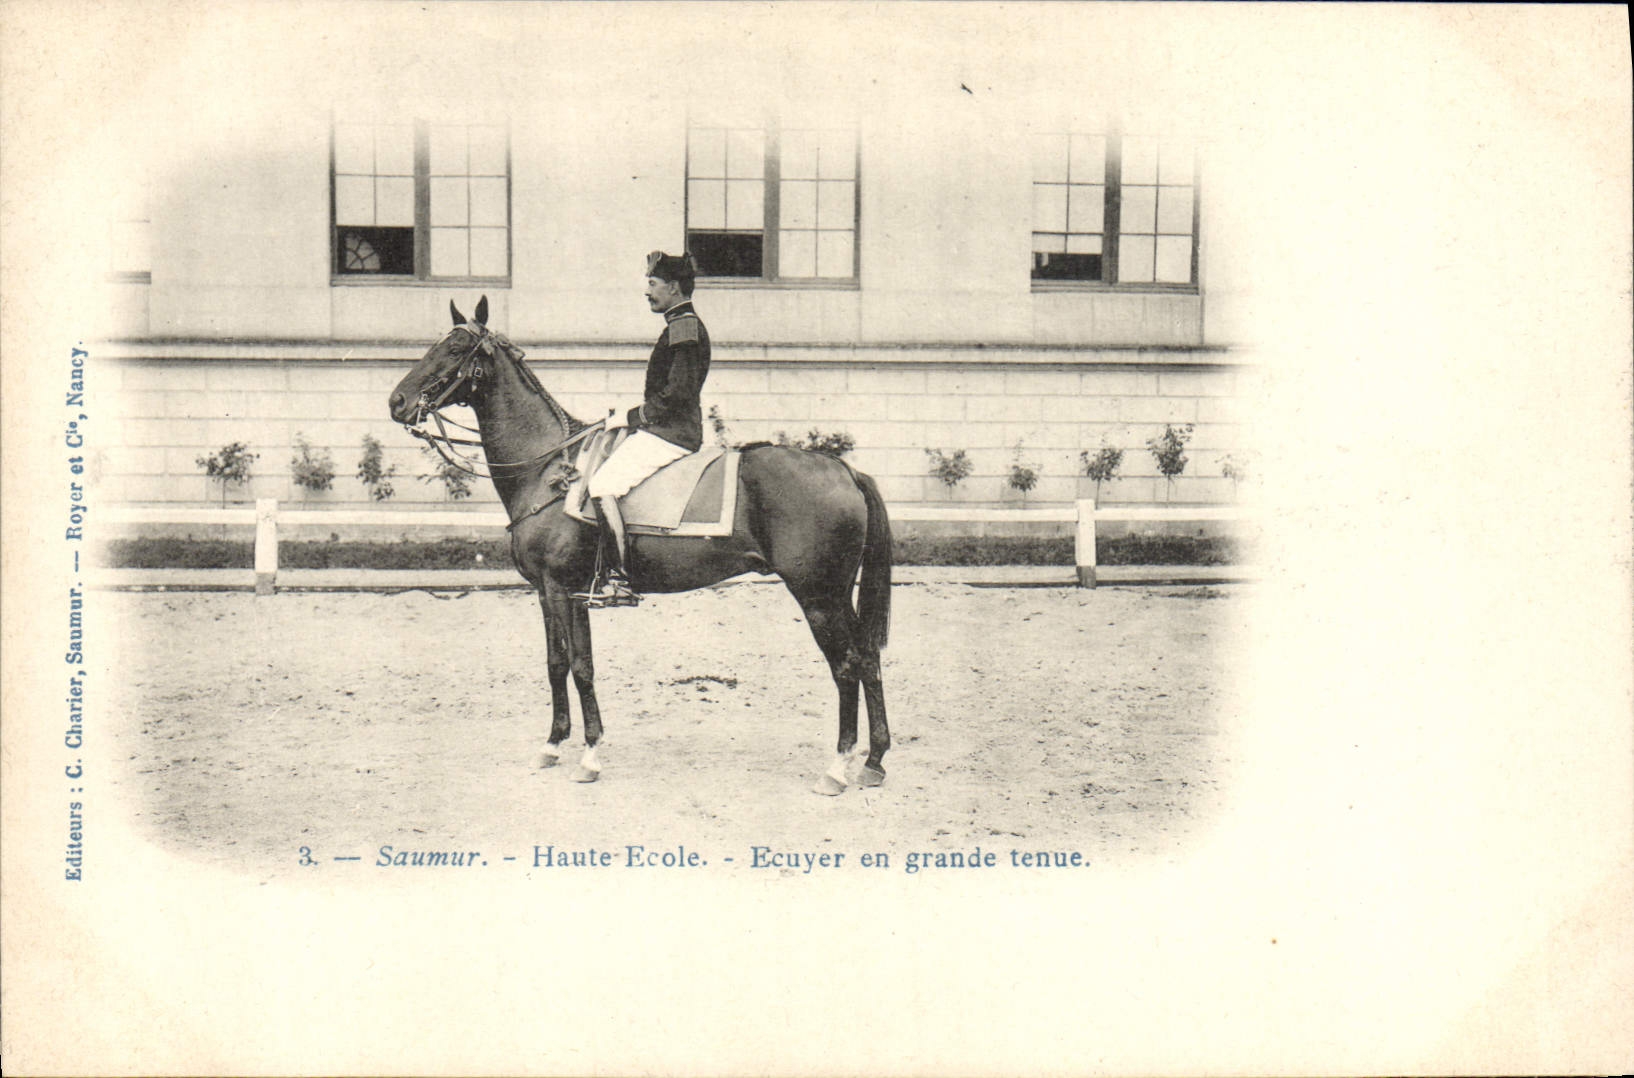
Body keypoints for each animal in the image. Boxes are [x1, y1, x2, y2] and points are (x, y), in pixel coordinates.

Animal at [387, 298, 892, 795]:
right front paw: (553, 745)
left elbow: (580, 666)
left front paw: (589, 756)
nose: (397, 402)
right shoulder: (552, 592)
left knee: (846, 665)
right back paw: (874, 761)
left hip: (817, 595)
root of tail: (844, 469)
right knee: (868, 657)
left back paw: (838, 768)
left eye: (456, 349)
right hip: (836, 595)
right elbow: (558, 663)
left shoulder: (561, 588)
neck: (548, 468)